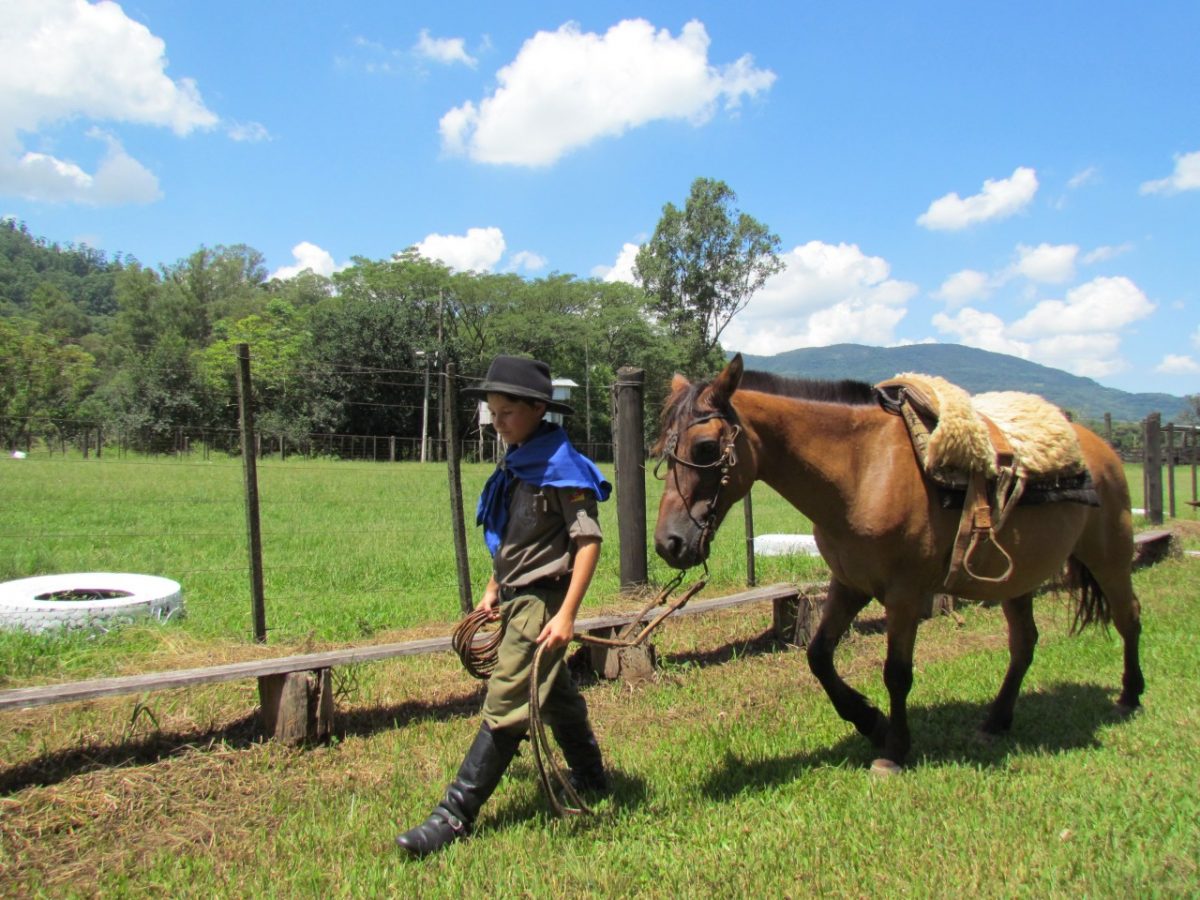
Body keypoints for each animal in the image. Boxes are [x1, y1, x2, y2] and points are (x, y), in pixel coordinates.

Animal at [657, 355, 1142, 772]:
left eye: (705, 448)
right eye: (664, 448)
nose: (668, 543)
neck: (863, 469)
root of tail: (1098, 447)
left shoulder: (905, 595)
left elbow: (896, 673)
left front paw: (893, 749)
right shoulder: (849, 584)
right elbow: (819, 656)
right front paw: (871, 722)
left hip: (1111, 557)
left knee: (1128, 618)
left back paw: (1129, 696)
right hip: (1016, 579)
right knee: (1024, 643)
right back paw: (996, 720)